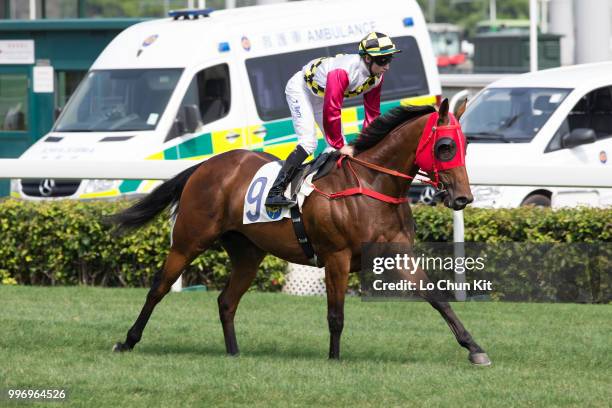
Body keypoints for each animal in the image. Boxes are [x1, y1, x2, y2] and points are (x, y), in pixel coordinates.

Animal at [111, 99, 492, 366]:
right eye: (445, 146)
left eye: (466, 145)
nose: (463, 197)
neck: (372, 184)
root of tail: (206, 165)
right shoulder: (336, 257)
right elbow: (336, 314)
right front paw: (335, 359)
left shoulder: (398, 255)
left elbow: (437, 298)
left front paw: (475, 348)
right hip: (190, 239)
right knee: (159, 288)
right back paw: (127, 341)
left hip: (248, 253)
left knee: (226, 301)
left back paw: (234, 353)